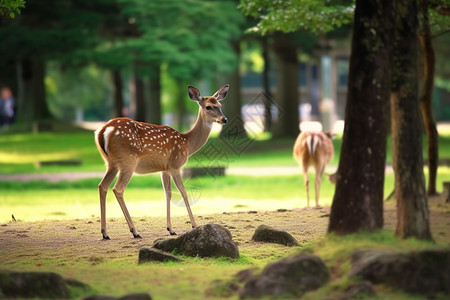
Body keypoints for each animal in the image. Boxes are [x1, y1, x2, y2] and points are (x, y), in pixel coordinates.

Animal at [94, 84, 229, 239]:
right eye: (208, 107)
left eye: (220, 105)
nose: (224, 119)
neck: (186, 143)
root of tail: (103, 130)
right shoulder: (175, 165)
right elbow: (183, 191)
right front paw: (195, 225)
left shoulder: (164, 169)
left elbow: (167, 193)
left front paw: (170, 229)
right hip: (128, 160)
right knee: (117, 188)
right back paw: (134, 231)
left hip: (111, 163)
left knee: (102, 186)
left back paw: (105, 233)